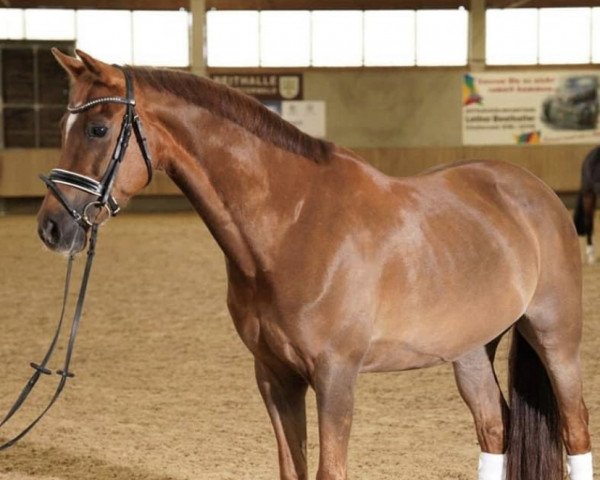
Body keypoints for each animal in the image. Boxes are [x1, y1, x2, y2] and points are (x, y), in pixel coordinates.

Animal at [38, 49, 596, 480]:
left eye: (98, 127)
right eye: (62, 125)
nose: (52, 227)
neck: (293, 224)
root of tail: (532, 191)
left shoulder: (335, 377)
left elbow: (331, 468)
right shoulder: (275, 376)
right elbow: (293, 467)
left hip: (555, 339)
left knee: (575, 429)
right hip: (471, 350)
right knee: (494, 426)